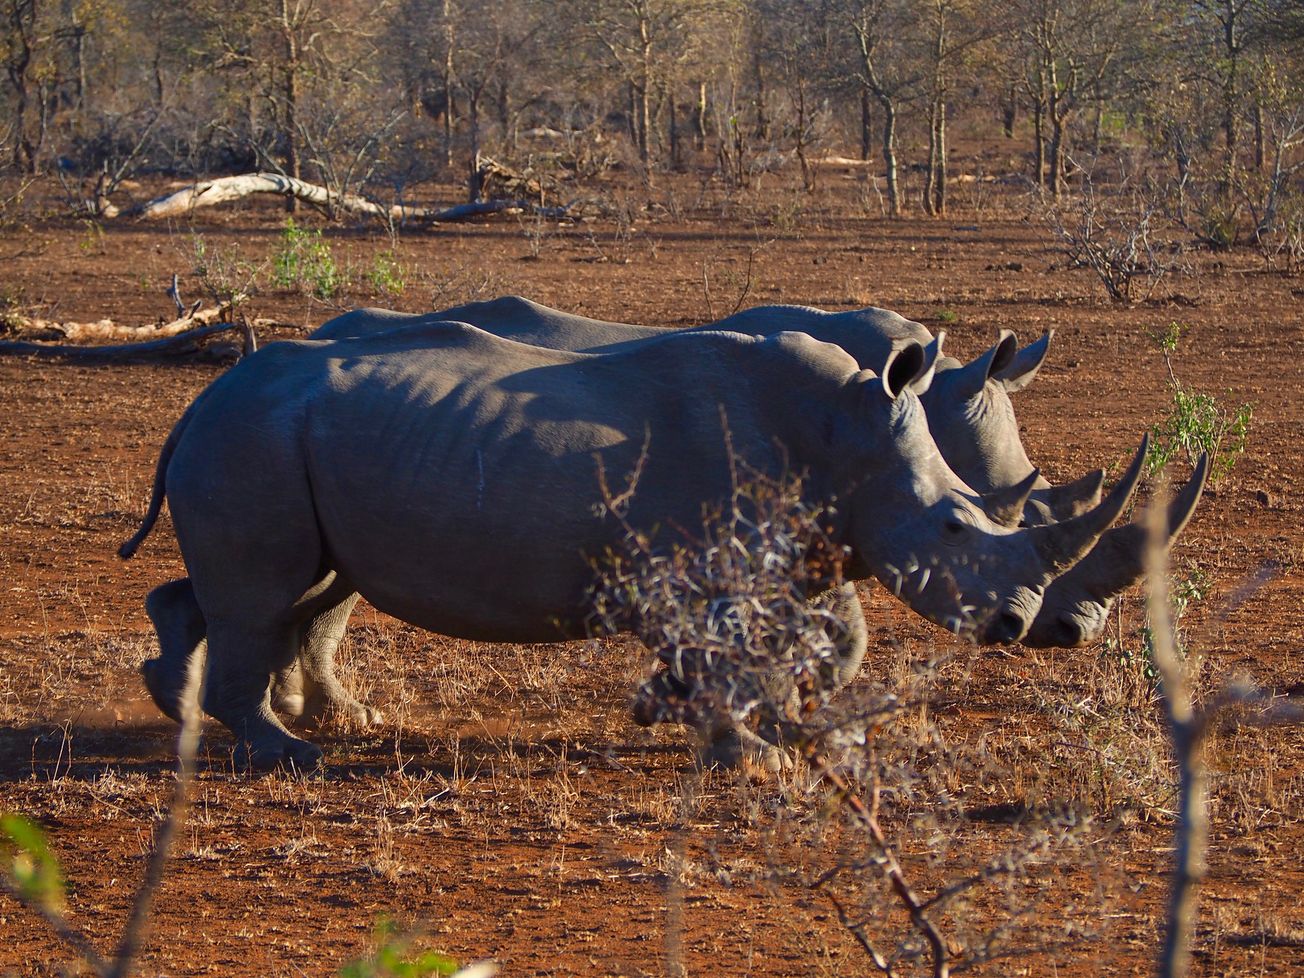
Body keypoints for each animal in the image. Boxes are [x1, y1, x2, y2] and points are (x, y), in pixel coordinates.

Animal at [122, 324, 1136, 769]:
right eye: (956, 526)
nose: (1018, 623)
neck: (846, 435)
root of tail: (201, 398)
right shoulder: (697, 572)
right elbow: (736, 657)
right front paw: (749, 755)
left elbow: (791, 648)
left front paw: (769, 732)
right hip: (253, 438)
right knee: (265, 598)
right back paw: (282, 751)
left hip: (278, 440)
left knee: (292, 592)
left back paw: (190, 703)